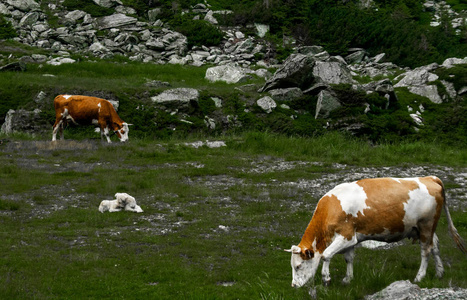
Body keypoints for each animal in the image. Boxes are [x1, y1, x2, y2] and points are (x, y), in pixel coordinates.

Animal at [288, 177, 466, 288]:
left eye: (298, 266)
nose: (294, 286)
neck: (332, 207)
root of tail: (429, 178)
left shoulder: (346, 236)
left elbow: (326, 255)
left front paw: (326, 279)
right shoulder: (351, 238)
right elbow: (348, 258)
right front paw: (347, 279)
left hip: (426, 224)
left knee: (426, 251)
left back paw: (419, 276)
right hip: (425, 229)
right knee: (435, 246)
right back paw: (439, 272)